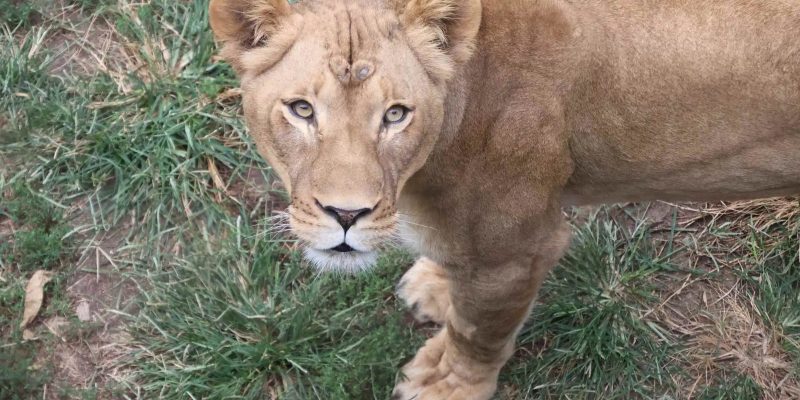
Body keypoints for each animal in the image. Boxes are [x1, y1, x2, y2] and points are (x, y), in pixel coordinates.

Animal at [208, 0, 800, 398]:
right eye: (301, 109)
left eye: (396, 114)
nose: (347, 214)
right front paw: (437, 283)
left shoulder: (514, 254)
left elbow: (476, 333)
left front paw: (446, 385)